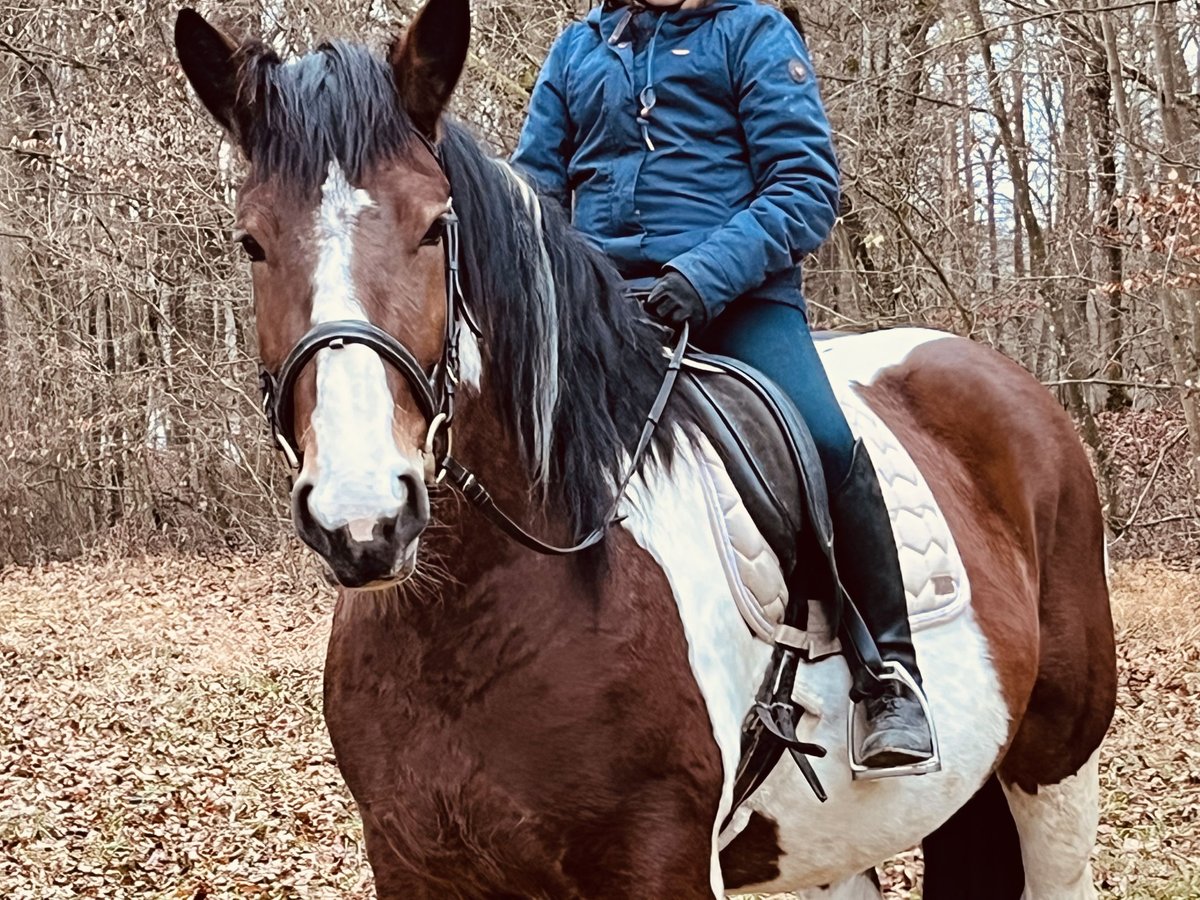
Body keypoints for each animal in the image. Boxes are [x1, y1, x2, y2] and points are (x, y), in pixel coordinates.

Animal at [175, 3, 1113, 897]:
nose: (364, 518)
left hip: (1056, 777)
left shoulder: (659, 864)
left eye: (436, 226)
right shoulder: (413, 864)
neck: (481, 616)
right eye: (251, 242)